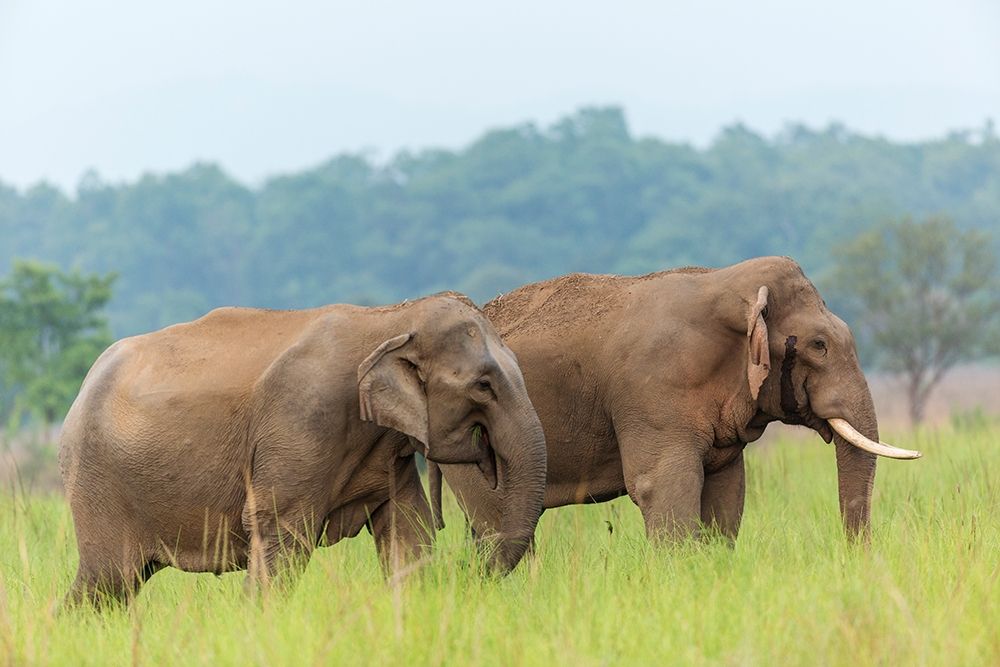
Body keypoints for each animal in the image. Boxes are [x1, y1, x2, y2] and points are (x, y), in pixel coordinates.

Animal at [59, 292, 546, 606]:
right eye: (483, 385)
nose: (466, 572)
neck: (389, 319)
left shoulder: (386, 448)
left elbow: (409, 529)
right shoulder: (303, 419)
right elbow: (281, 529)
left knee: (112, 585)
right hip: (99, 483)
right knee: (109, 578)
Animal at [431, 257, 919, 546]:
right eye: (819, 346)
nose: (855, 558)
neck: (725, 284)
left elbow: (727, 492)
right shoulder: (652, 391)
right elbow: (662, 486)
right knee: (501, 520)